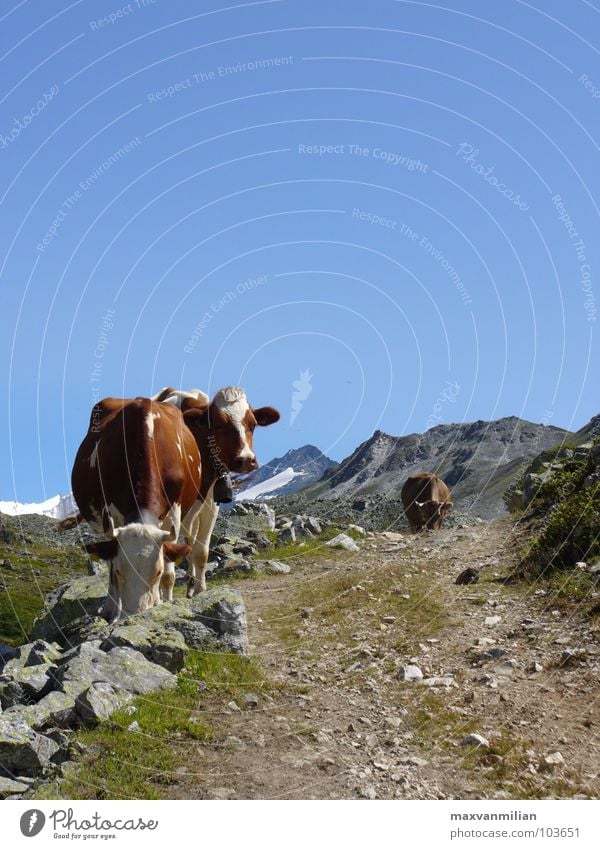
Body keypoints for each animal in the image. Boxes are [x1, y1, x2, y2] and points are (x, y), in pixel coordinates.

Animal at [67, 394, 197, 620]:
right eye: (121, 571)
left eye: (157, 572)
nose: (134, 614)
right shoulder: (112, 514)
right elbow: (111, 570)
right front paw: (114, 612)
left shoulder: (175, 511)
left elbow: (170, 572)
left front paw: (164, 602)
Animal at [158, 386, 282, 592]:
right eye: (218, 425)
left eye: (253, 425)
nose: (246, 460)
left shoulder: (210, 503)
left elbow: (201, 552)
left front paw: (200, 590)